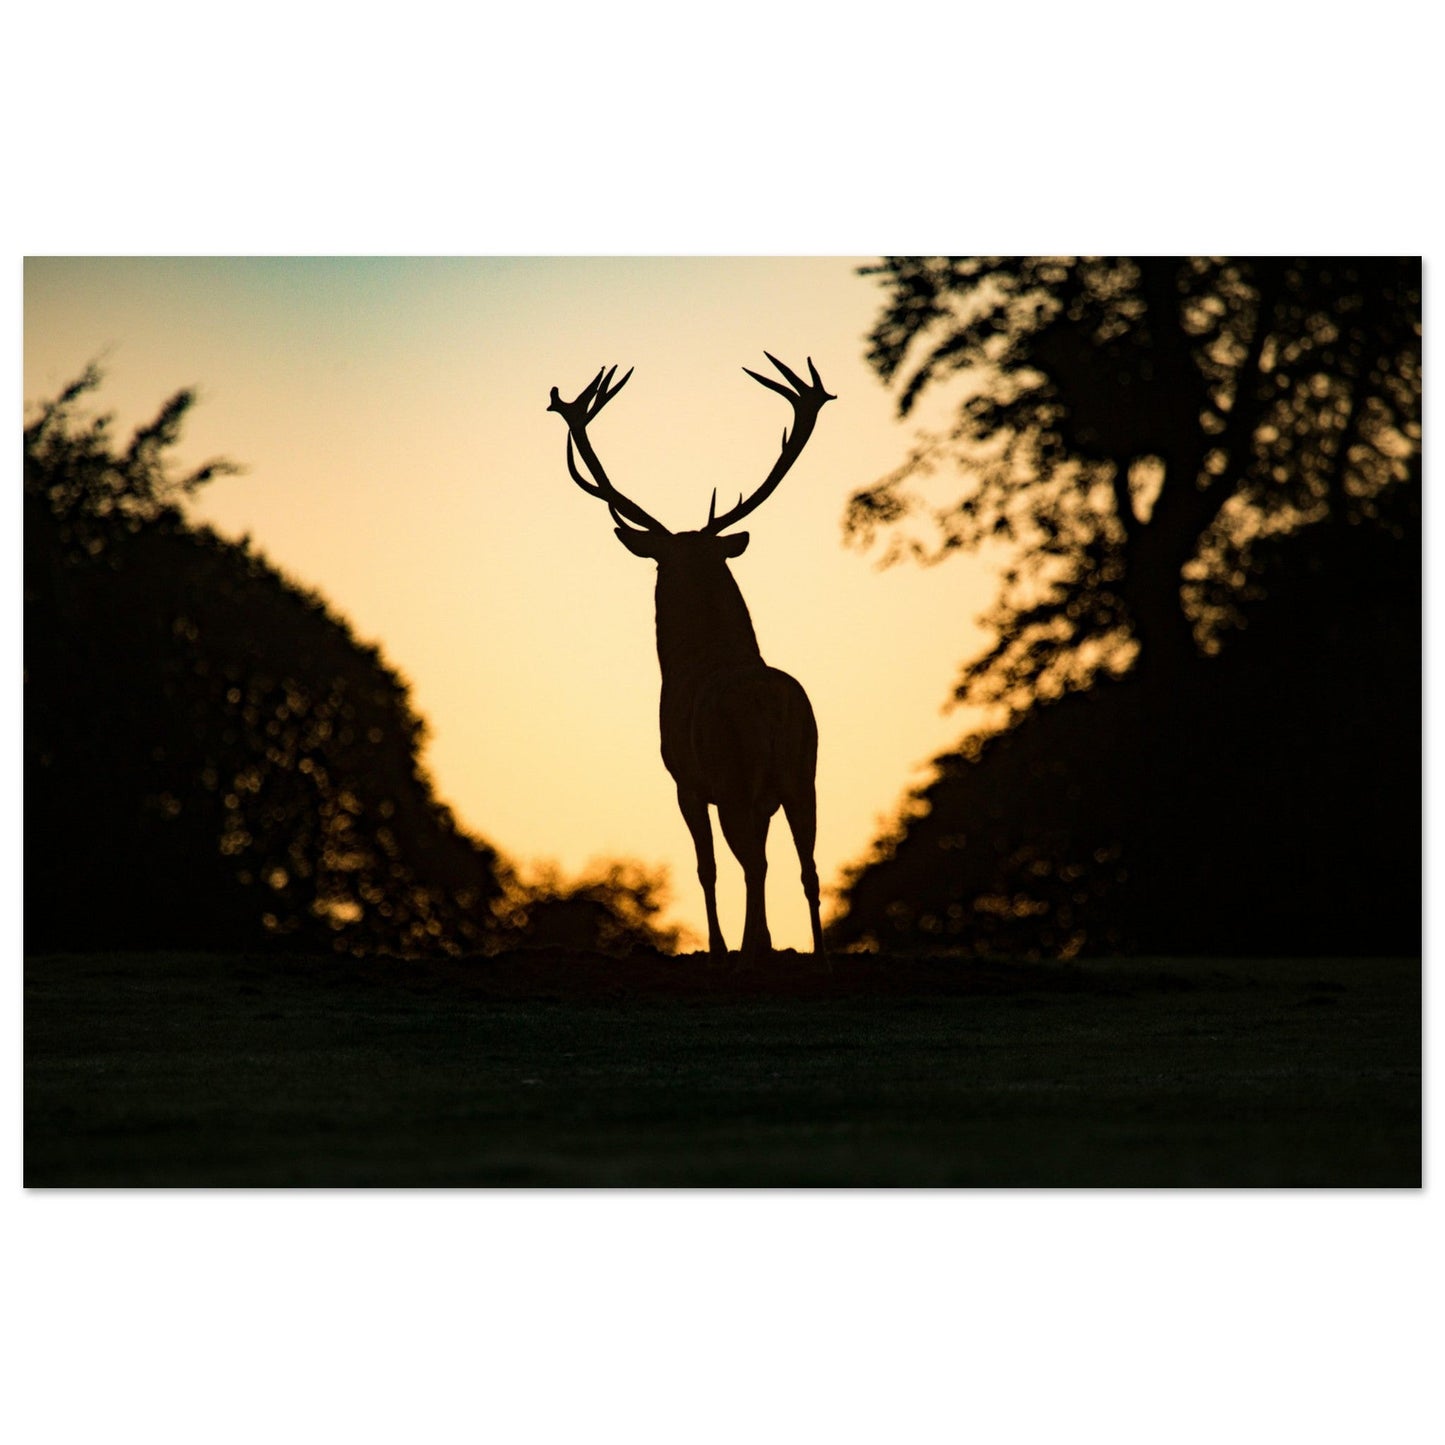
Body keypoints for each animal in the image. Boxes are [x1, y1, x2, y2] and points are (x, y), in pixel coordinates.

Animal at [547, 353, 834, 962]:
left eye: (660, 561)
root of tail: (770, 706)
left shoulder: (684, 779)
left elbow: (706, 868)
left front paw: (721, 946)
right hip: (805, 773)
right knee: (808, 867)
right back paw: (816, 952)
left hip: (735, 776)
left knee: (751, 862)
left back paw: (753, 947)